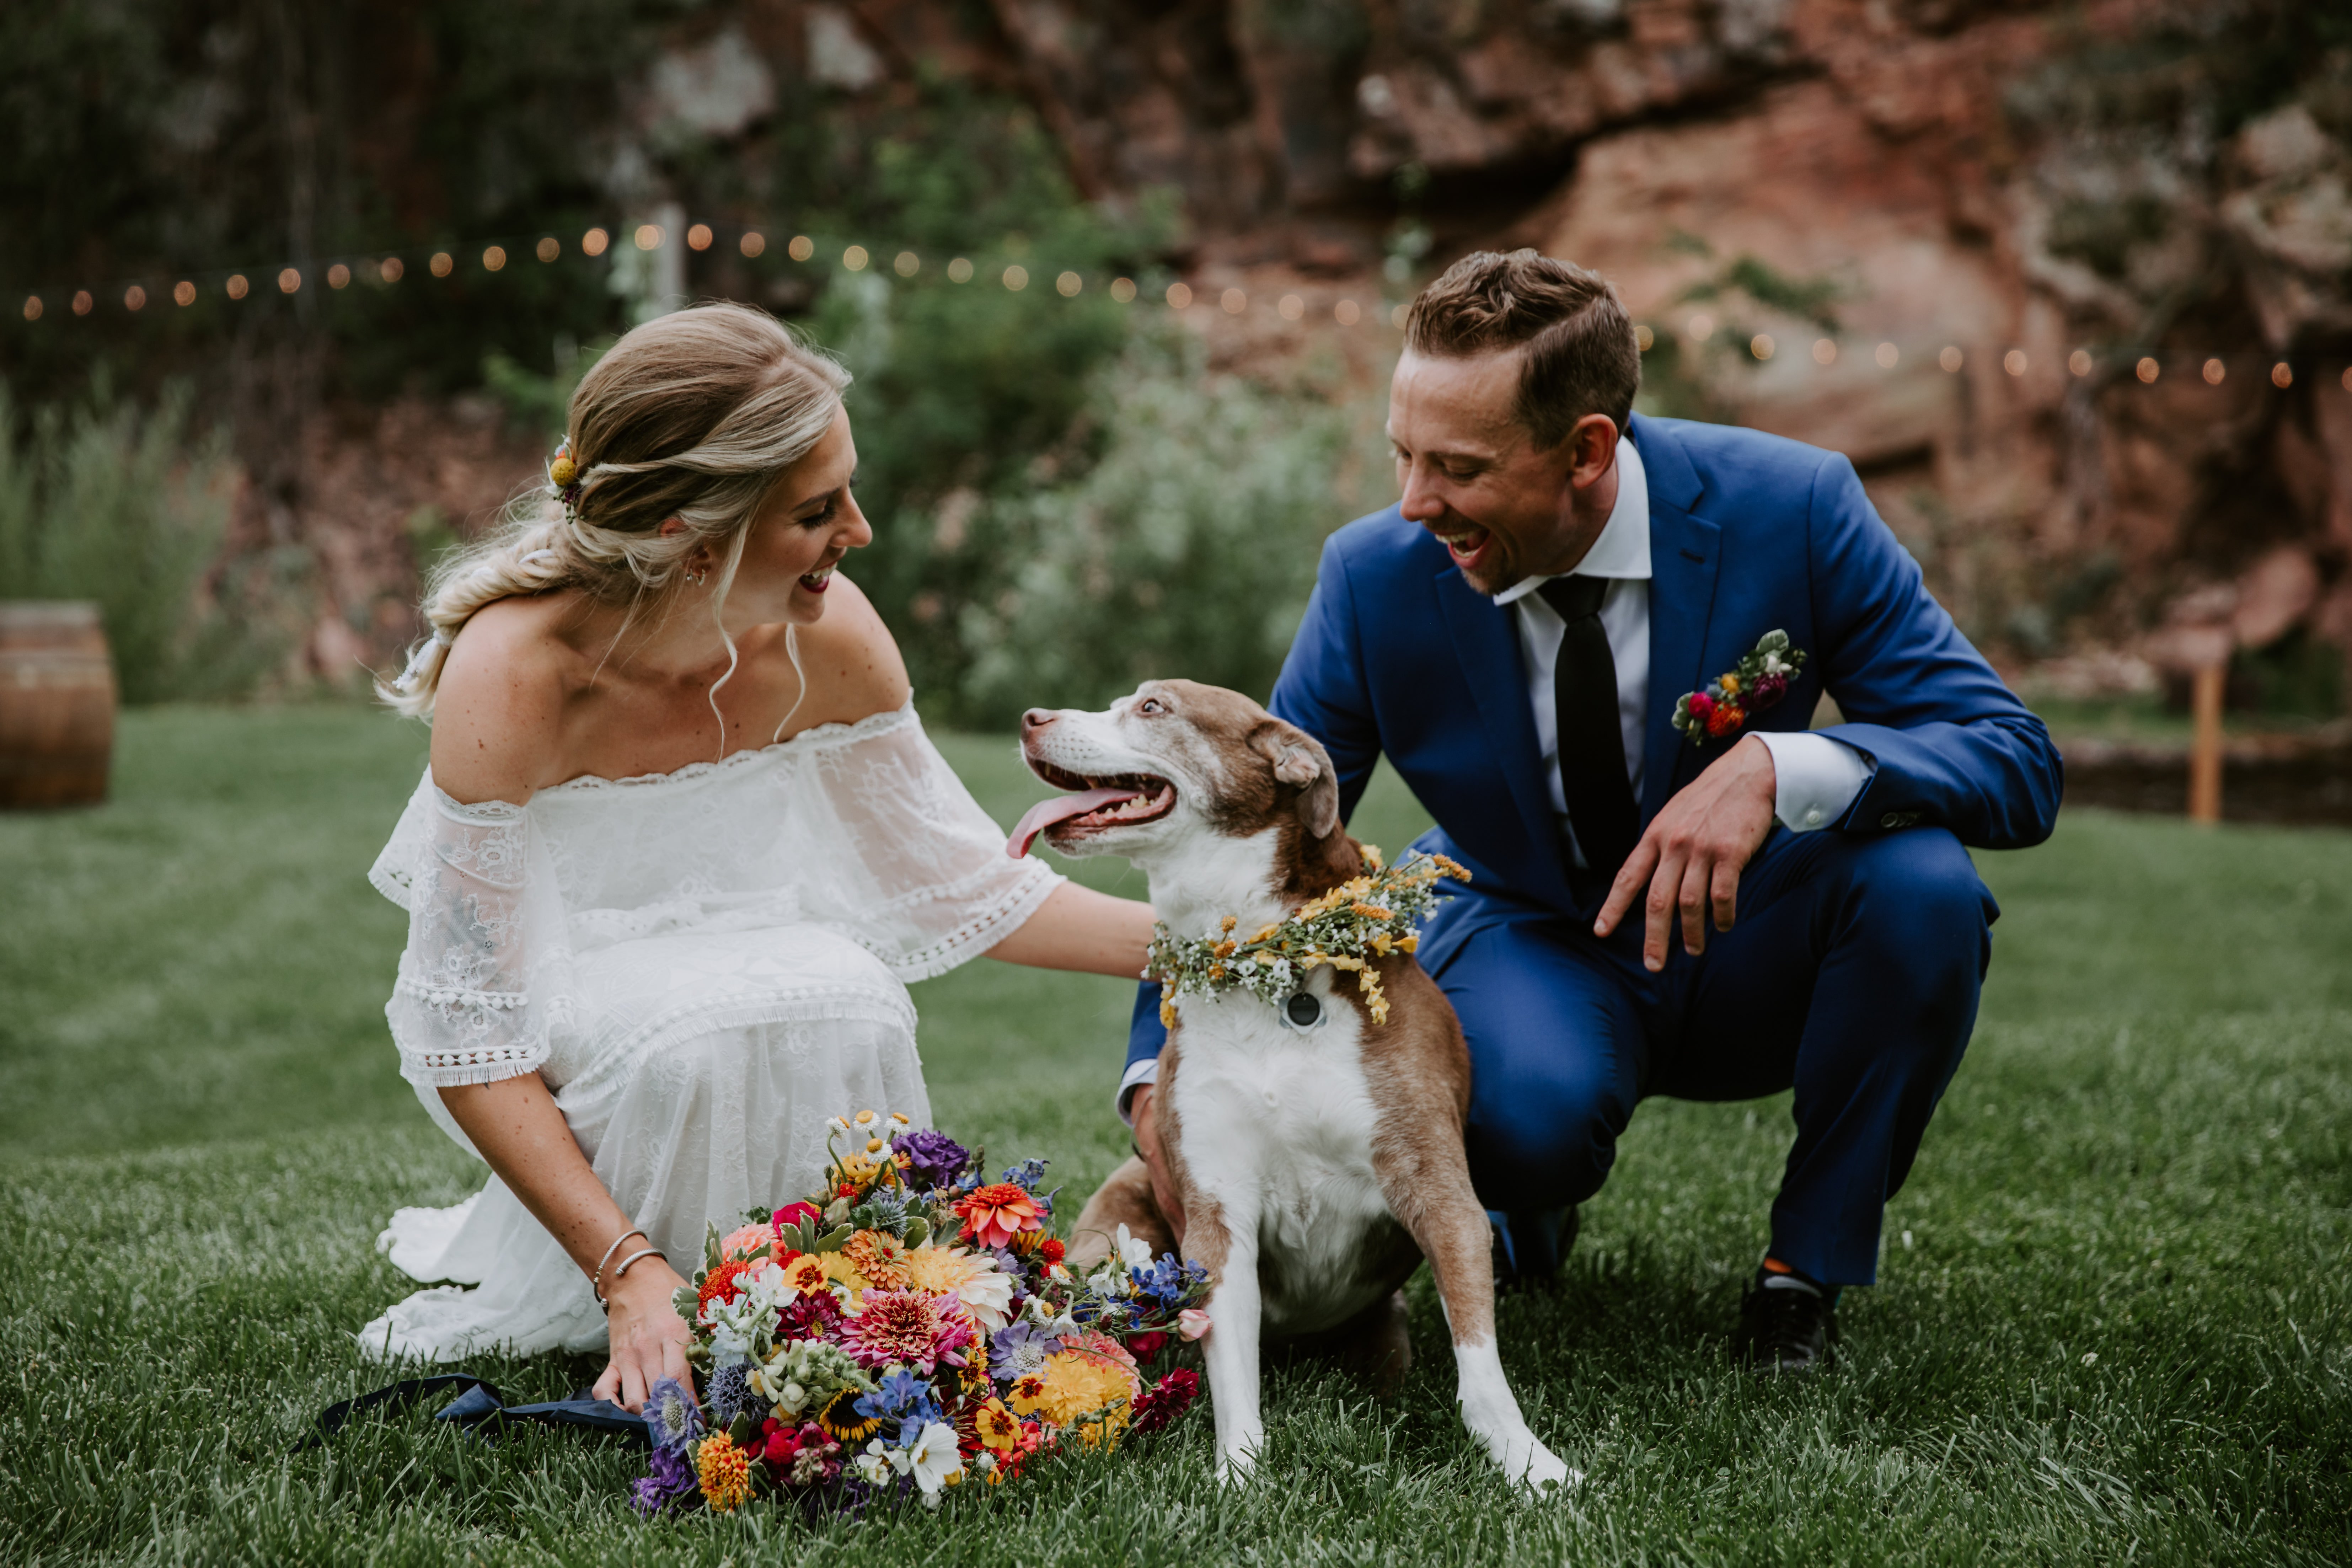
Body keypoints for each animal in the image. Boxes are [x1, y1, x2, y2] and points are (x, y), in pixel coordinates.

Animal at [1007, 681, 1571, 1495]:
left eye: (1152, 708)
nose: (1030, 719)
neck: (1261, 969)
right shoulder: (1218, 1218)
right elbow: (1231, 1377)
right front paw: (1238, 1481)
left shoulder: (1439, 1192)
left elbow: (1479, 1361)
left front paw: (1530, 1465)